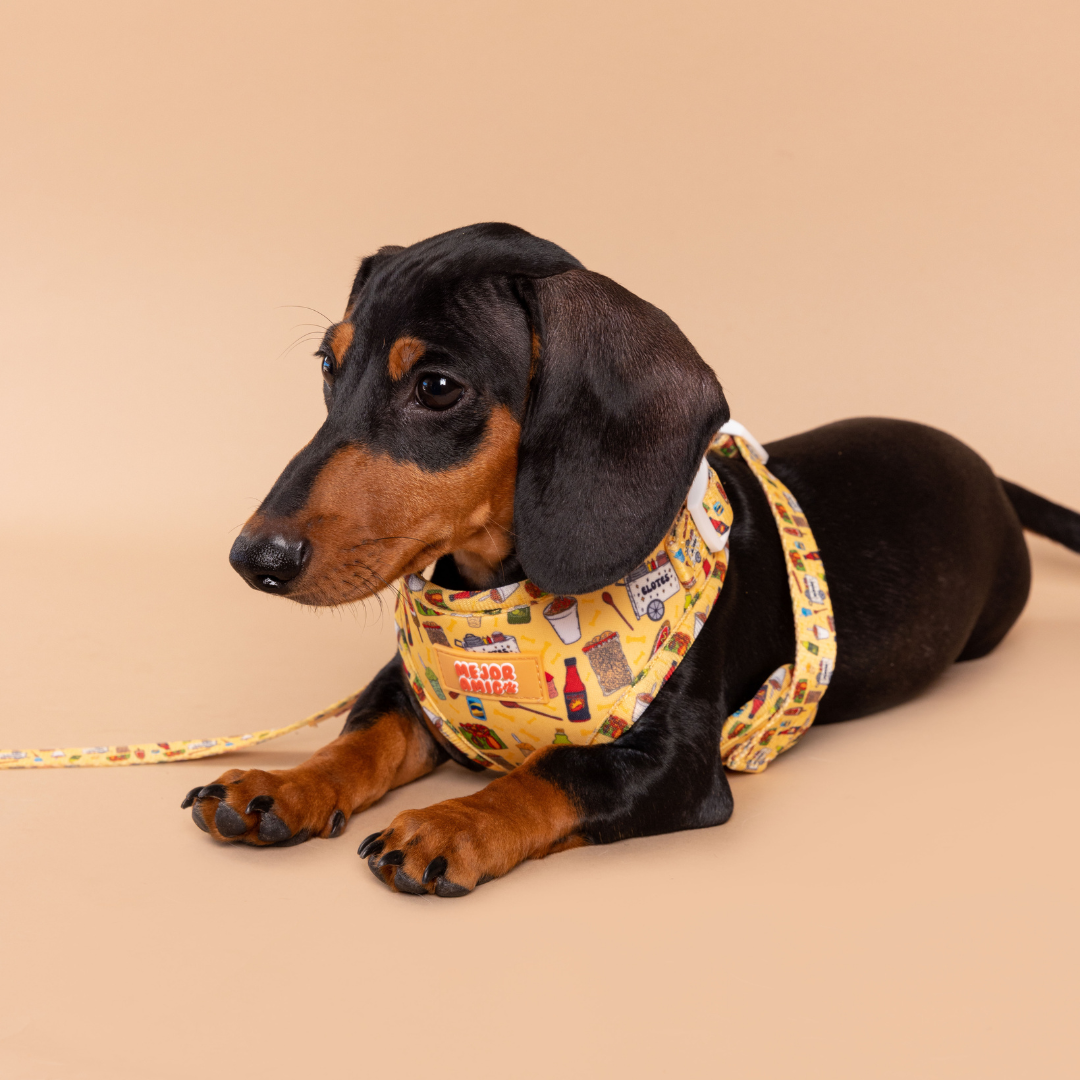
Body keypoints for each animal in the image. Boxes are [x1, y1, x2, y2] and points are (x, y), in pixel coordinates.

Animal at [182, 222, 1080, 895]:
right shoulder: (415, 691)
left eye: (436, 387)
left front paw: (452, 823)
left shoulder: (673, 766)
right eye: (328, 366)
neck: (508, 598)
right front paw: (280, 785)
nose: (253, 556)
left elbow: (556, 773)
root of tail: (988, 471)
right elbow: (362, 737)